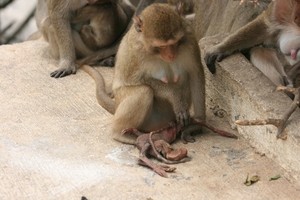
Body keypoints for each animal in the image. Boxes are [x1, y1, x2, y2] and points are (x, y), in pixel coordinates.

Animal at [84, 3, 206, 145]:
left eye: (175, 42)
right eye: (161, 46)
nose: (171, 55)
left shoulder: (189, 36)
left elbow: (195, 72)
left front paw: (197, 124)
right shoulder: (135, 49)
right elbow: (132, 79)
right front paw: (175, 95)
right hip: (148, 122)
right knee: (143, 91)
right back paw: (122, 135)